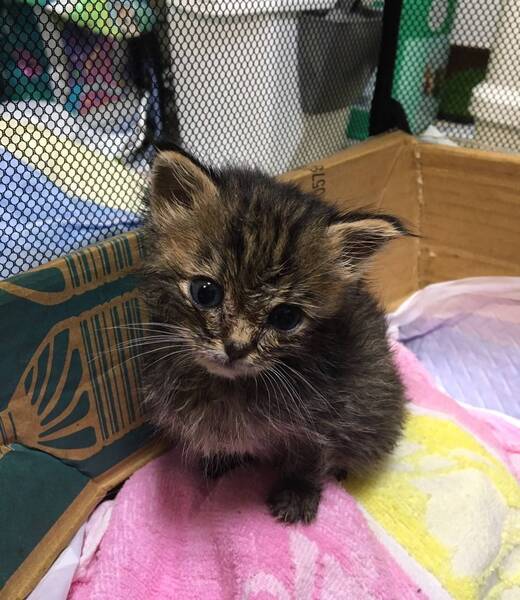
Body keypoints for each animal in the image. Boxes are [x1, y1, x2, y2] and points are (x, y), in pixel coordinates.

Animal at [139, 150, 408, 524]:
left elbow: (310, 459)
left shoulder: (327, 417)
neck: (230, 388)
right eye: (205, 292)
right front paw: (220, 463)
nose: (236, 347)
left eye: (286, 318)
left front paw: (298, 495)